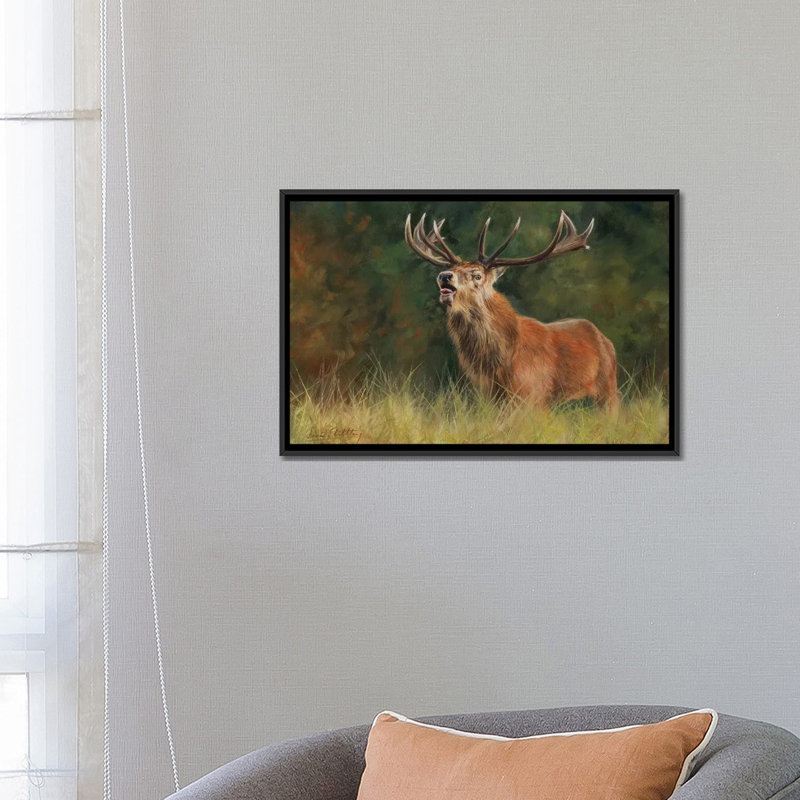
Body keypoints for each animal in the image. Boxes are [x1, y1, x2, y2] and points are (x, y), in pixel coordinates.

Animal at [404, 211, 619, 412]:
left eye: (477, 275)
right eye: (453, 269)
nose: (444, 276)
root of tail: (606, 341)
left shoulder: (535, 392)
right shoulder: (491, 395)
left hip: (608, 386)